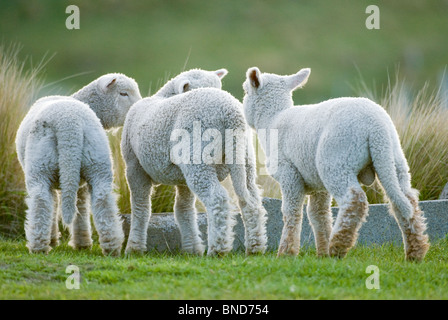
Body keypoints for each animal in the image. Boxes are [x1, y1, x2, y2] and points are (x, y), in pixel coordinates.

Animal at [16, 72, 141, 255]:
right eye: (123, 93)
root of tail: (69, 123)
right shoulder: (78, 180)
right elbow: (80, 206)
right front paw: (82, 242)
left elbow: (57, 204)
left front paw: (54, 240)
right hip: (97, 161)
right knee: (103, 200)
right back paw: (111, 246)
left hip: (41, 167)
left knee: (41, 202)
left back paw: (38, 246)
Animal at [121, 69, 268, 256]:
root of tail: (231, 114)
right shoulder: (182, 178)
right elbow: (183, 209)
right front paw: (192, 248)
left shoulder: (134, 166)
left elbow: (141, 207)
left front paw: (134, 248)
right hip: (243, 158)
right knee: (251, 199)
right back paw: (256, 246)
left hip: (198, 157)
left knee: (217, 199)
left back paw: (218, 249)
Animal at [242, 66, 430, 262]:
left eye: (246, 91)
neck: (273, 119)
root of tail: (376, 126)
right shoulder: (317, 183)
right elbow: (319, 214)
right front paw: (322, 252)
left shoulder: (289, 173)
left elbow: (291, 212)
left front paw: (286, 253)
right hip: (394, 159)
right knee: (405, 199)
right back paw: (415, 251)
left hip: (337, 159)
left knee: (354, 200)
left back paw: (338, 246)